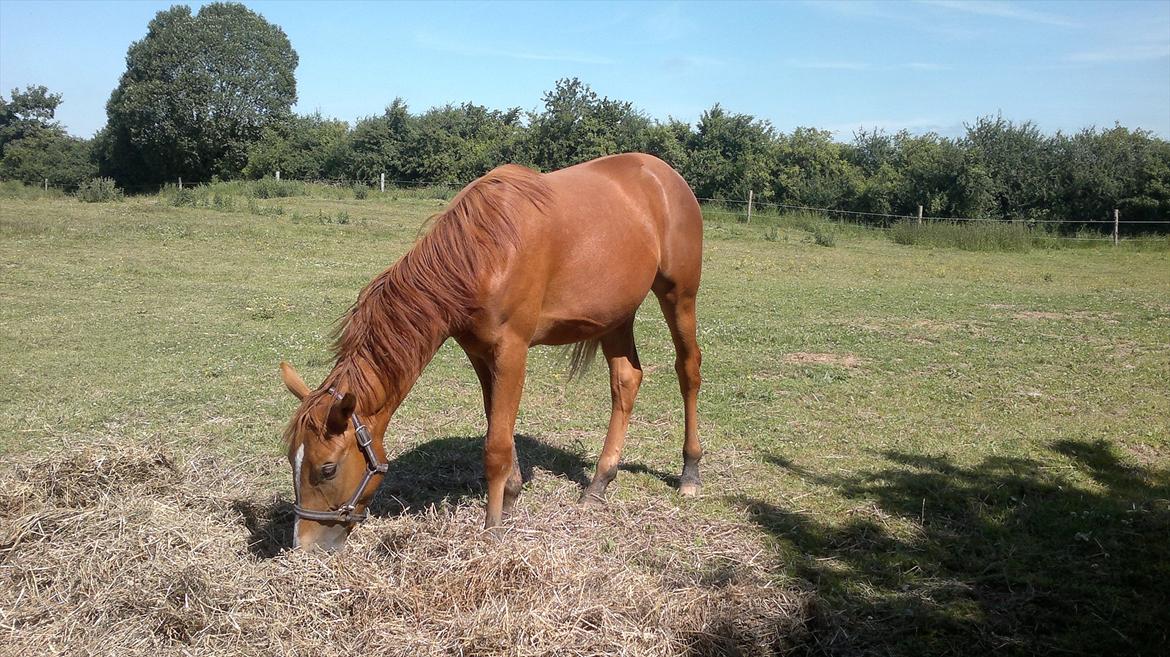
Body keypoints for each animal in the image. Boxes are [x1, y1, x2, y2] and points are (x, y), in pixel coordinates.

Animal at [280, 151, 702, 547]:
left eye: (327, 468)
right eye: (292, 460)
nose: (304, 545)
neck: (483, 253)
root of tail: (663, 175)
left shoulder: (512, 351)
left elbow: (496, 446)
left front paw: (493, 527)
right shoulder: (480, 355)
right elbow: (497, 425)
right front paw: (512, 497)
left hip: (679, 297)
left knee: (688, 370)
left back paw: (690, 472)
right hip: (616, 315)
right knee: (626, 381)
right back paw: (599, 484)